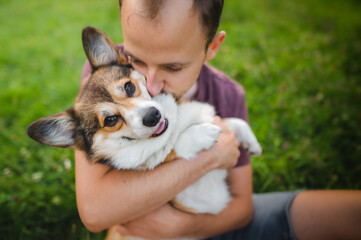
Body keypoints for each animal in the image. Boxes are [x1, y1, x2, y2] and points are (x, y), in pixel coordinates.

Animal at [26, 26, 260, 216]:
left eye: (129, 87)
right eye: (110, 120)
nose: (152, 116)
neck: (174, 125)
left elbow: (234, 121)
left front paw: (252, 143)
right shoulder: (192, 197)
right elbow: (174, 147)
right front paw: (203, 134)